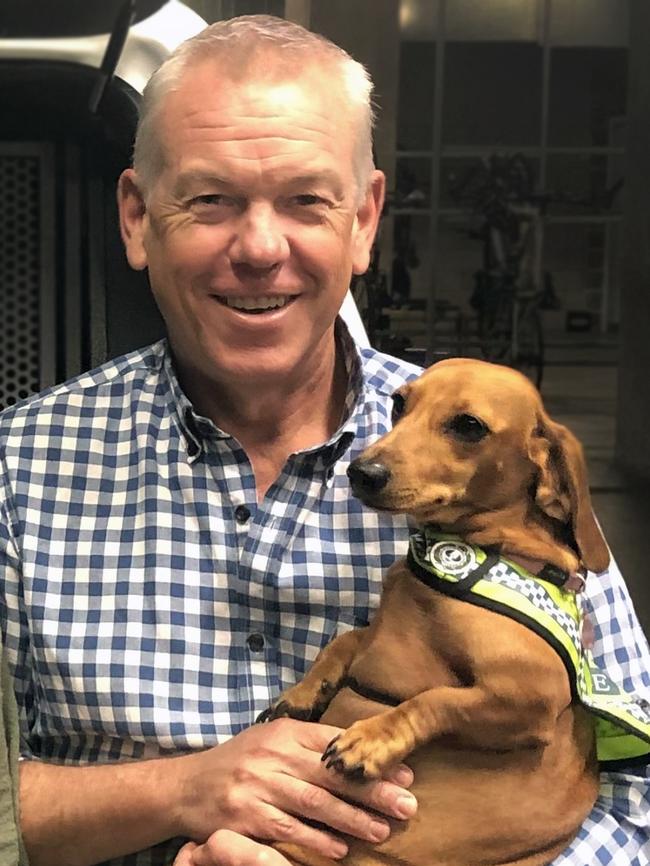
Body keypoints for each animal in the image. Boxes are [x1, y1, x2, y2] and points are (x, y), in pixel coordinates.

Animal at [260, 358, 608, 864]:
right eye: (399, 404)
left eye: (469, 426)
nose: (361, 472)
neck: (484, 549)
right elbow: (346, 639)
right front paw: (305, 691)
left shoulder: (529, 697)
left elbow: (435, 699)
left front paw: (373, 738)